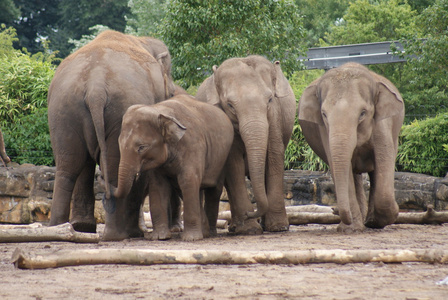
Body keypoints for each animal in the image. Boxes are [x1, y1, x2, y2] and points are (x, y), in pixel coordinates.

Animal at [47, 29, 177, 241]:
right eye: (171, 93)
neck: (143, 41)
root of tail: (95, 87)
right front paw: (136, 233)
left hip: (63, 109)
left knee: (70, 164)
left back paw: (65, 228)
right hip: (118, 108)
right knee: (111, 165)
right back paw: (117, 235)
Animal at [106, 95, 234, 240]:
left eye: (142, 147)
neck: (159, 111)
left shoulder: (193, 147)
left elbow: (188, 181)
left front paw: (191, 238)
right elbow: (158, 186)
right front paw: (159, 237)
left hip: (223, 160)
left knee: (213, 191)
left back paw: (209, 233)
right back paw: (205, 231)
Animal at [197, 55, 298, 234]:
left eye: (270, 99)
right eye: (229, 105)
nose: (250, 213)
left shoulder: (275, 116)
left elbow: (274, 154)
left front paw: (279, 227)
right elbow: (233, 161)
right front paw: (249, 229)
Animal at [298, 62, 406, 233]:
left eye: (363, 113)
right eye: (324, 114)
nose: (334, 210)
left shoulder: (382, 125)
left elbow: (384, 159)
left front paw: (378, 221)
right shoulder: (325, 131)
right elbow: (340, 167)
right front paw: (351, 229)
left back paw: (370, 221)